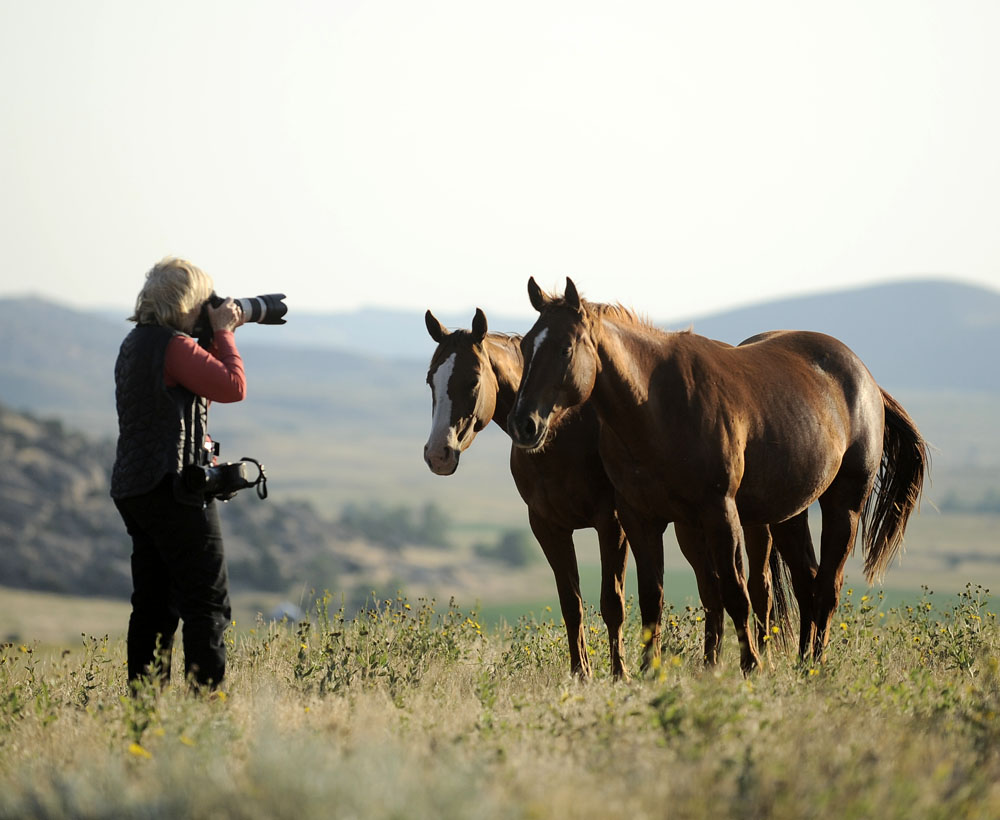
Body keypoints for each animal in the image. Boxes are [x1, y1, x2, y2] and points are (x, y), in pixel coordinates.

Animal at [512, 278, 924, 668]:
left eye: (565, 349)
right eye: (526, 346)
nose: (524, 423)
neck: (657, 406)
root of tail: (865, 378)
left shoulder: (719, 513)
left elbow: (734, 593)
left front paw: (751, 665)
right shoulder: (640, 519)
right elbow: (652, 599)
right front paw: (649, 672)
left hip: (844, 506)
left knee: (827, 589)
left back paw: (815, 667)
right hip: (788, 515)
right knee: (808, 584)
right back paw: (802, 664)